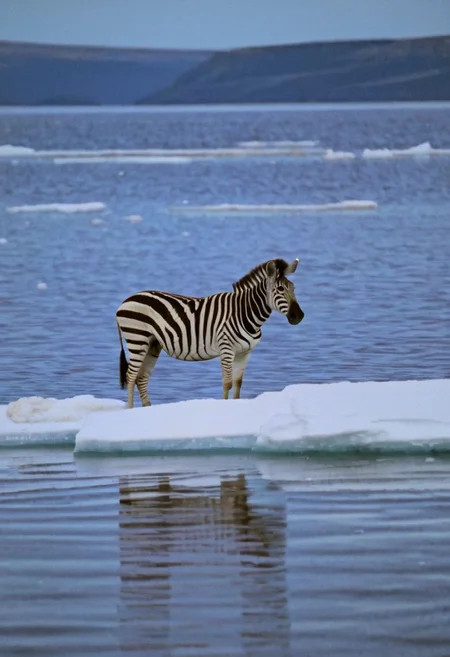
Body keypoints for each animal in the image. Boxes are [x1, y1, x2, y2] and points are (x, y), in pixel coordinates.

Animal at [116, 257, 304, 408]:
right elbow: (227, 383)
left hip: (152, 344)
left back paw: (147, 410)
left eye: (293, 288)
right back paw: (130, 411)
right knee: (131, 376)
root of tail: (125, 301)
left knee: (141, 378)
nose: (299, 316)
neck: (244, 313)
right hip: (137, 338)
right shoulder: (226, 349)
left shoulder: (245, 352)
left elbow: (238, 383)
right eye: (280, 290)